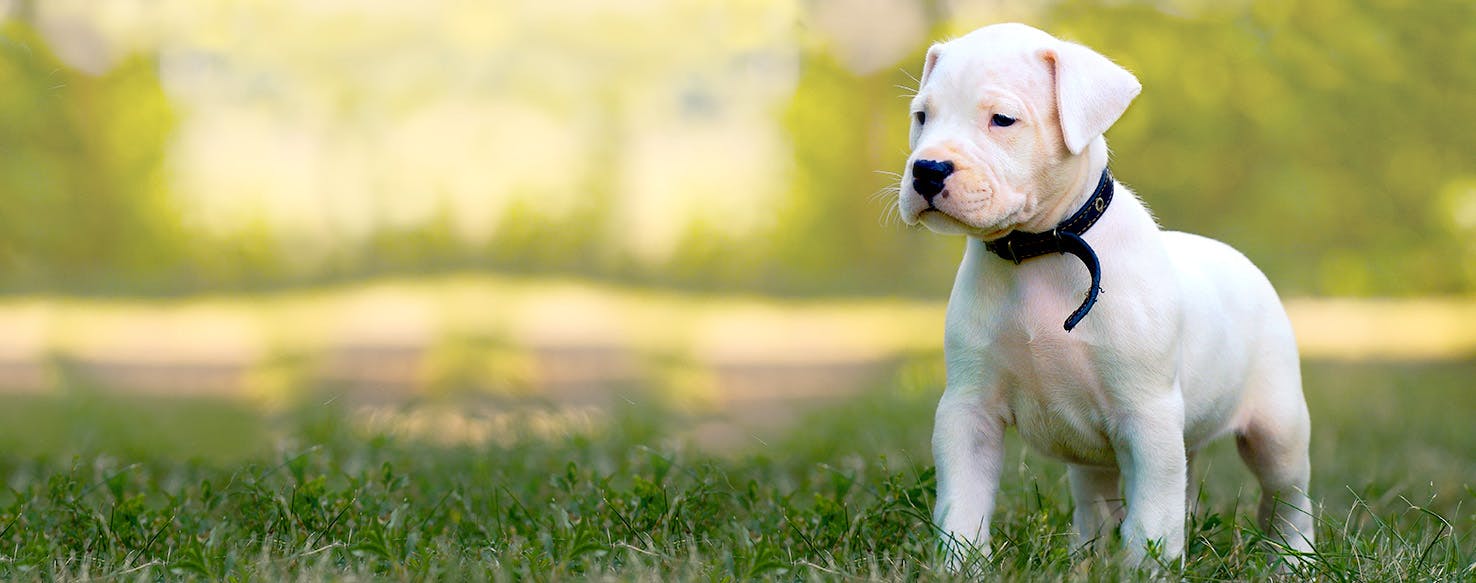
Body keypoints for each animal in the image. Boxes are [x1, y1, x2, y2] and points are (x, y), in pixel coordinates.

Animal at [897, 25, 1316, 569]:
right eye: (922, 116)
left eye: (1002, 119)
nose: (927, 169)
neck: (1041, 251)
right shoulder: (969, 412)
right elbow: (962, 505)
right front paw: (960, 565)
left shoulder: (1148, 417)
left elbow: (1151, 520)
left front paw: (1147, 571)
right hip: (1102, 458)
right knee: (1100, 502)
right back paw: (1085, 558)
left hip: (1276, 431)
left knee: (1288, 499)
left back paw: (1295, 558)